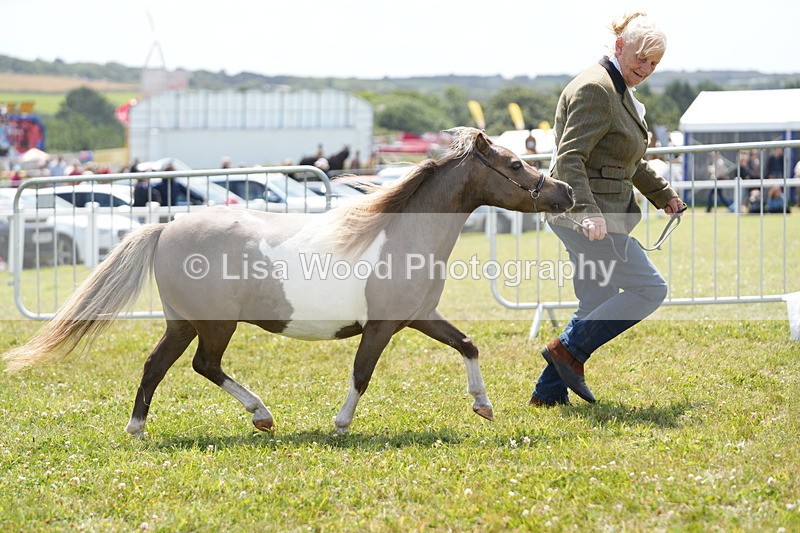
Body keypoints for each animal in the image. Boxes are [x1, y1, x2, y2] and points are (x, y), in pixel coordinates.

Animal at [2, 127, 574, 437]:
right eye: (516, 163)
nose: (565, 192)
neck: (399, 234)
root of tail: (164, 229)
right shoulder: (382, 327)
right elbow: (362, 374)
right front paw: (340, 425)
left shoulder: (418, 318)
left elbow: (469, 344)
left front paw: (483, 406)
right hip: (215, 325)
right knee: (203, 366)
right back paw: (261, 415)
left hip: (183, 322)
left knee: (156, 365)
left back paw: (139, 428)